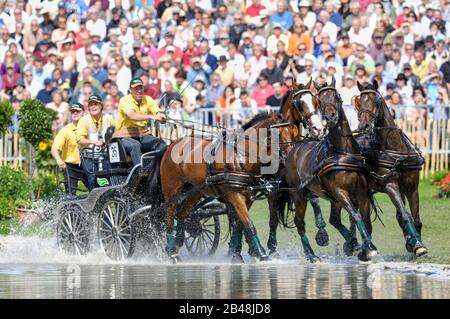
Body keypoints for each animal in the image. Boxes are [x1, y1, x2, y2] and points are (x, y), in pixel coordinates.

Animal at [160, 111, 294, 264]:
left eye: (291, 132)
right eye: (278, 134)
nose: (289, 158)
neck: (241, 157)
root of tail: (172, 144)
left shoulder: (248, 198)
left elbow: (240, 225)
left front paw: (236, 254)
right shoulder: (235, 196)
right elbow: (249, 224)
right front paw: (261, 254)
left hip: (196, 191)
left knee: (182, 214)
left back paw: (177, 244)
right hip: (172, 191)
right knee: (170, 217)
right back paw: (172, 253)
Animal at [286, 77, 378, 262]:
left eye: (336, 97)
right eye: (319, 100)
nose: (330, 117)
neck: (343, 153)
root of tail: (295, 148)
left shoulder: (362, 193)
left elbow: (365, 221)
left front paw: (365, 247)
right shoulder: (339, 192)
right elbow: (356, 215)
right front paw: (368, 248)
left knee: (334, 219)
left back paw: (351, 242)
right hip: (299, 194)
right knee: (300, 223)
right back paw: (311, 255)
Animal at [356, 80, 426, 258]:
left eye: (375, 101)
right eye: (359, 102)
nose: (364, 125)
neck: (396, 151)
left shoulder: (411, 188)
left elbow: (415, 218)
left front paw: (415, 243)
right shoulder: (390, 186)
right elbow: (405, 215)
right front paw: (416, 243)